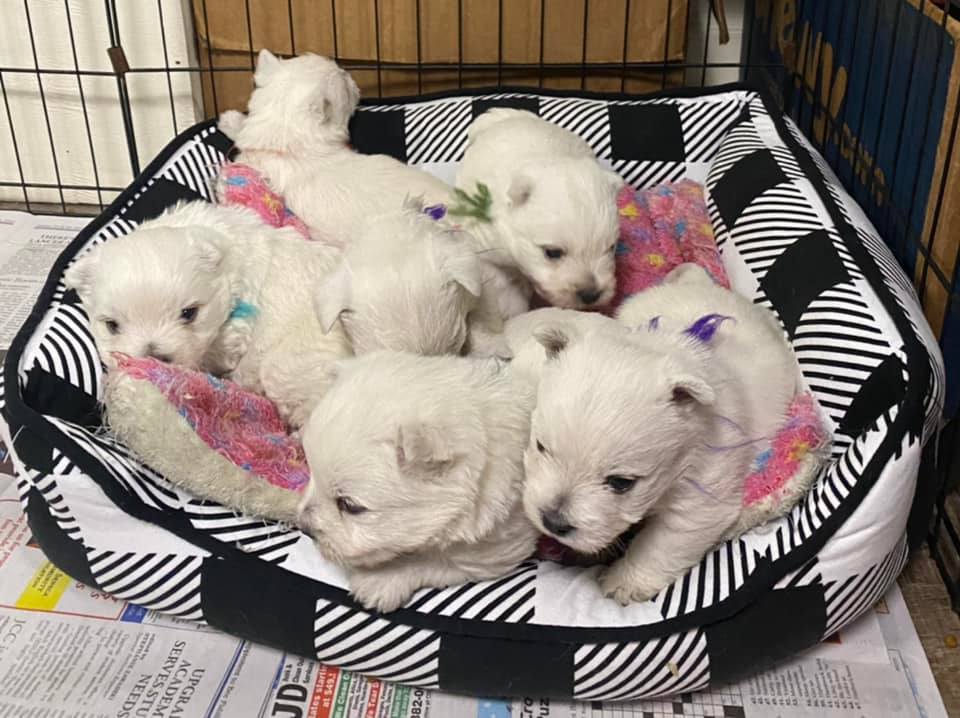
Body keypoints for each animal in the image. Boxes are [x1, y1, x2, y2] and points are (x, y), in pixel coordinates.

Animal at [297, 351, 539, 612]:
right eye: (310, 469)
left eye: (350, 506)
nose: (304, 529)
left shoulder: (496, 545)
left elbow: (435, 559)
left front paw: (380, 580)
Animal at [522, 264, 800, 604]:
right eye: (541, 447)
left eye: (621, 483)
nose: (552, 522)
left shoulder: (702, 490)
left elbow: (663, 542)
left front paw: (623, 583)